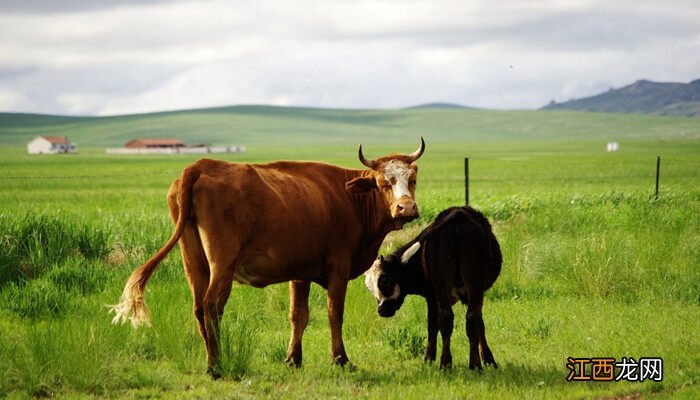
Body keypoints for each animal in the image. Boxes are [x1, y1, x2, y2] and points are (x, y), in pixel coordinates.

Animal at [111, 139, 424, 376]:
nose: (406, 208)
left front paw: (293, 359)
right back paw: (216, 365)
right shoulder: (339, 269)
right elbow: (334, 314)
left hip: (194, 262)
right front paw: (340, 359)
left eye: (413, 180)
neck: (349, 199)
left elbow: (298, 315)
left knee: (199, 308)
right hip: (222, 262)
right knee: (212, 306)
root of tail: (201, 166)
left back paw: (211, 360)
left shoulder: (300, 272)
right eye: (384, 183)